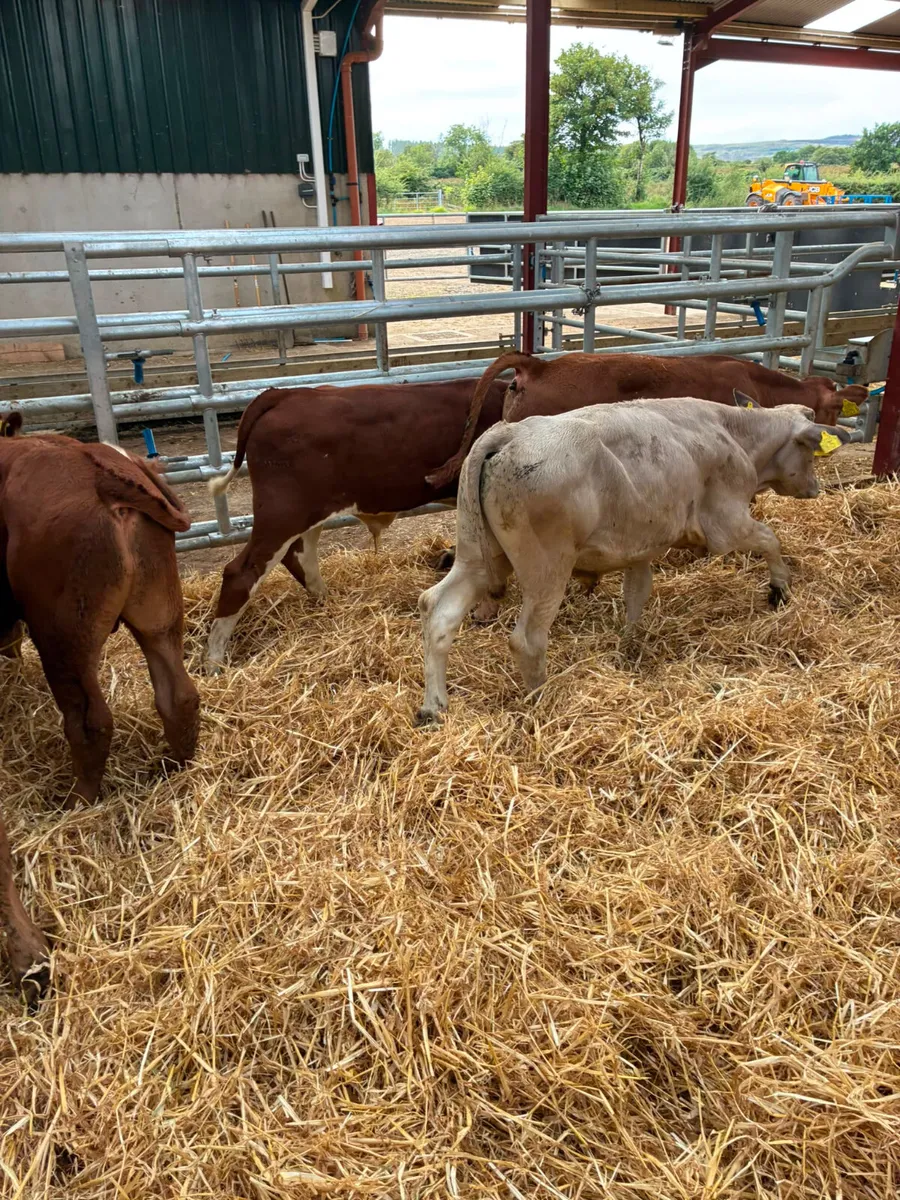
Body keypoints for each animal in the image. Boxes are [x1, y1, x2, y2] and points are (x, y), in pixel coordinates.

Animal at [0, 412, 200, 804]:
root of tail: (98, 470)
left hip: (61, 636)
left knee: (90, 721)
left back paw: (78, 800)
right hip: (159, 612)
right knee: (179, 695)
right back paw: (173, 766)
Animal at [205, 378, 507, 669]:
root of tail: (286, 394)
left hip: (306, 512)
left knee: (300, 555)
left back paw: (326, 602)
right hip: (283, 512)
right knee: (240, 573)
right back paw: (214, 662)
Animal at [416, 393, 851, 724]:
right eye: (812, 453)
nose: (815, 488)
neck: (733, 433)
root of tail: (508, 432)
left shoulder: (640, 547)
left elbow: (637, 595)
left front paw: (629, 646)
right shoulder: (727, 525)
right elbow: (771, 540)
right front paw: (779, 590)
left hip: (475, 557)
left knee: (438, 610)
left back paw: (433, 708)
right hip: (546, 570)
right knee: (527, 639)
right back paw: (543, 700)